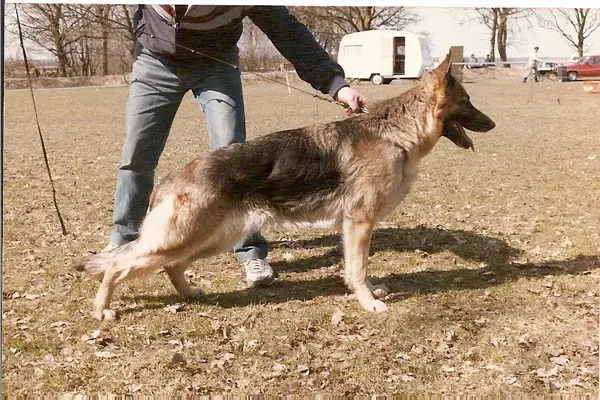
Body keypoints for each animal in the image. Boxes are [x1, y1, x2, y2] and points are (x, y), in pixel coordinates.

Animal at [74, 51, 496, 320]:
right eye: (467, 102)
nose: (493, 124)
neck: (395, 132)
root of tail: (172, 178)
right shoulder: (359, 222)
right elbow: (358, 267)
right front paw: (368, 303)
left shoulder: (354, 225)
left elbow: (357, 268)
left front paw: (368, 293)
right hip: (186, 237)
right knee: (118, 264)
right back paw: (102, 309)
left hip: (214, 237)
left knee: (170, 266)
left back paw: (190, 293)